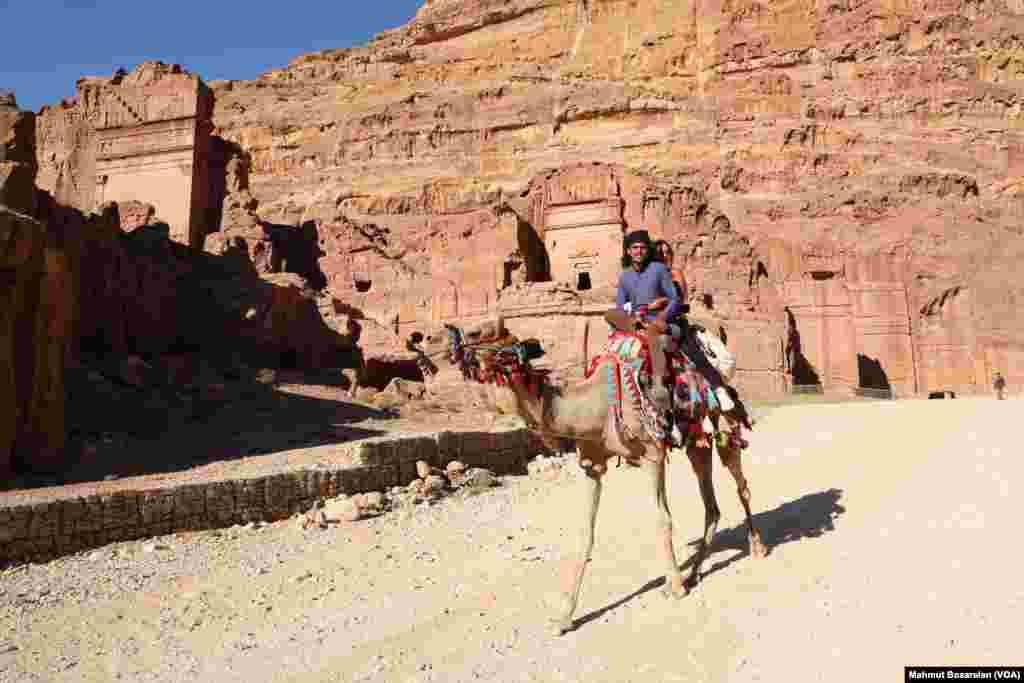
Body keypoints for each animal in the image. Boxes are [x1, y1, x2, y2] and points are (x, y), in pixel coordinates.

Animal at [444, 325, 765, 634]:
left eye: (484, 333)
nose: (453, 345)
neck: (594, 407)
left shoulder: (652, 455)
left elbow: (662, 518)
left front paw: (674, 587)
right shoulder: (593, 464)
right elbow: (586, 533)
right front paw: (564, 617)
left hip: (721, 420)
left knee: (741, 485)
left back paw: (756, 547)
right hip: (696, 438)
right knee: (711, 502)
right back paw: (695, 571)